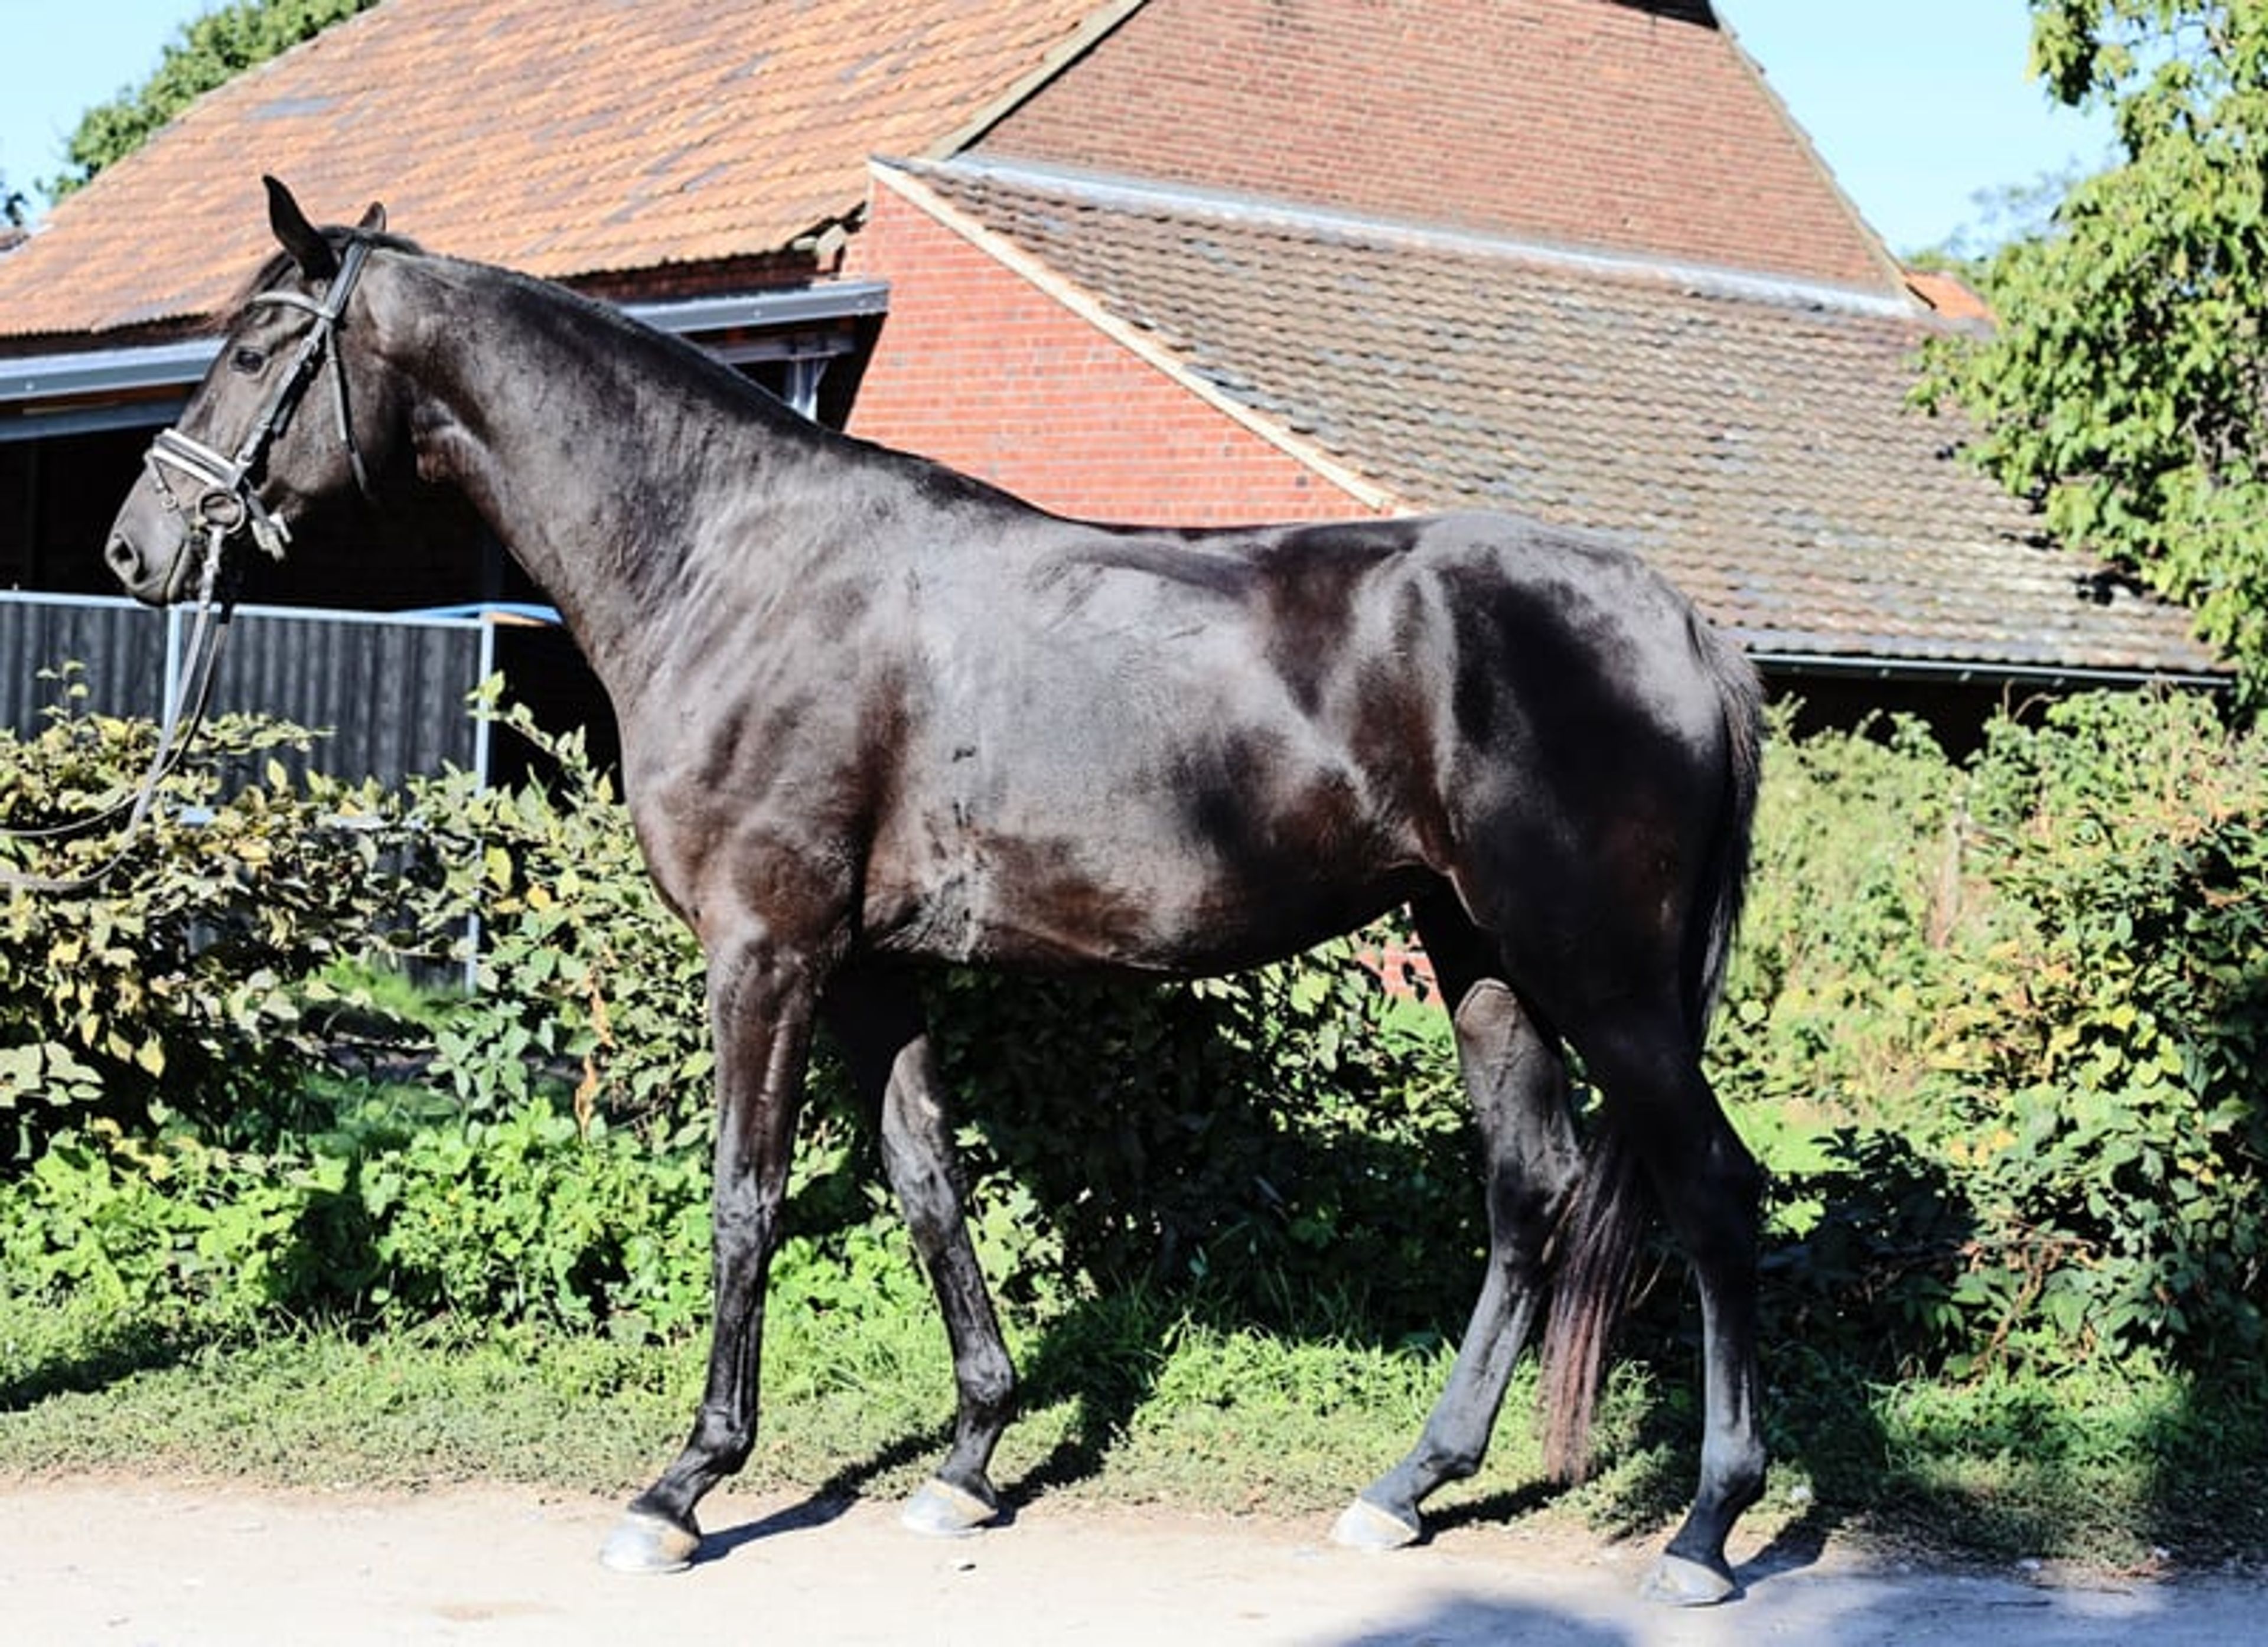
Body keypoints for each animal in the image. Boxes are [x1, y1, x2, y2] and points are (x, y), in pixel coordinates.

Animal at [104, 178, 1768, 1605]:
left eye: (254, 345)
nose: (135, 546)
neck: (730, 564)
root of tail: (1680, 621)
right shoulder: (867, 965)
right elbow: (926, 1182)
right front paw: (969, 1458)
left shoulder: (765, 951)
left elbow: (747, 1196)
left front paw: (685, 1484)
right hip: (1477, 954)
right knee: (1528, 1188)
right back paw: (1408, 1484)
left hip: (1603, 977)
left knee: (1709, 1190)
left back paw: (1703, 1526)